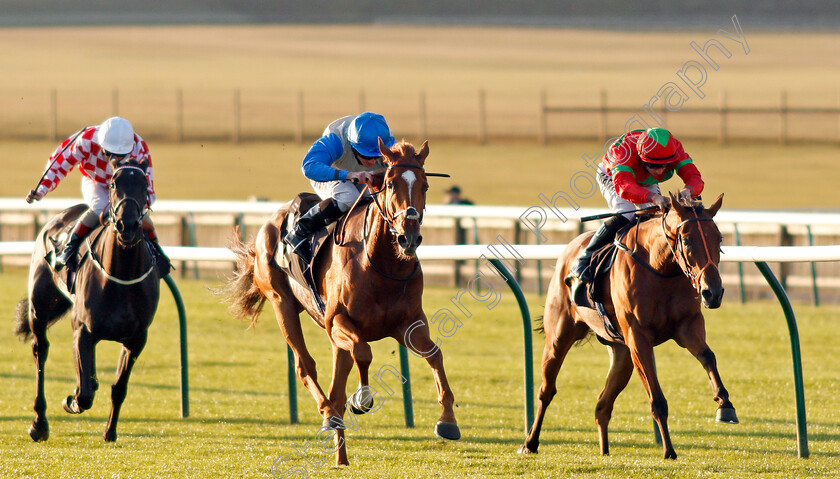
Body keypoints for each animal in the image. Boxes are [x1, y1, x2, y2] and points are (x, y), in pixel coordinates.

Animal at [13, 158, 159, 442]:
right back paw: (39, 423)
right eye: (113, 183)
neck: (121, 274)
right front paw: (71, 401)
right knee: (40, 352)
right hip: (40, 308)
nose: (127, 225)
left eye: (144, 184)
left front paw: (110, 431)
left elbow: (119, 387)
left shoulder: (137, 339)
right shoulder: (83, 331)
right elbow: (84, 394)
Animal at [221, 138, 460, 464]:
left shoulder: (408, 323)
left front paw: (447, 420)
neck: (381, 264)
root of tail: (272, 220)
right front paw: (362, 398)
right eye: (389, 183)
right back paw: (329, 417)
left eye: (425, 185)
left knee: (336, 382)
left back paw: (340, 453)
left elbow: (435, 354)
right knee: (306, 367)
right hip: (283, 303)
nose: (409, 238)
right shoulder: (337, 321)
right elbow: (364, 353)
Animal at [516, 194, 740, 462]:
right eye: (686, 239)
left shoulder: (688, 326)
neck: (661, 269)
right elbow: (657, 400)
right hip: (559, 337)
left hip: (621, 354)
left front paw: (725, 406)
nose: (713, 292)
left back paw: (604, 451)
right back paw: (530, 442)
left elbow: (708, 357)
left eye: (719, 238)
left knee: (602, 405)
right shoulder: (638, 338)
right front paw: (669, 450)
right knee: (546, 390)